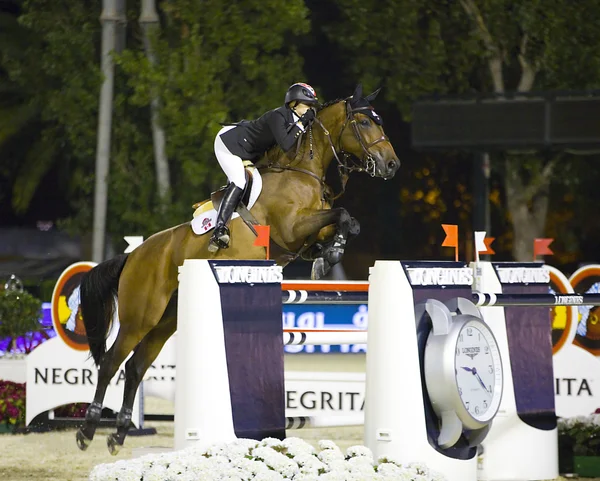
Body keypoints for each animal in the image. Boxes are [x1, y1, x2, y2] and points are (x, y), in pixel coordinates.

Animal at [77, 83, 400, 454]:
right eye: (364, 122)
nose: (392, 164)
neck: (302, 169)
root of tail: (133, 255)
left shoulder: (306, 231)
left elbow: (345, 223)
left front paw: (326, 254)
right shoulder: (291, 228)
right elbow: (343, 214)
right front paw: (330, 256)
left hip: (165, 320)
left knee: (135, 367)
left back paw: (117, 435)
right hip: (140, 316)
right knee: (111, 362)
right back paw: (87, 431)